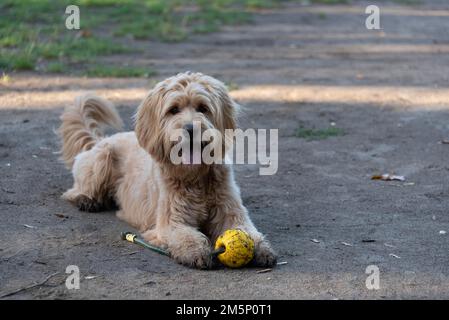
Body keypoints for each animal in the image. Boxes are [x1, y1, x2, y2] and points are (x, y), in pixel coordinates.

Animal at [58, 71, 276, 268]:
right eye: (173, 109)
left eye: (203, 108)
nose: (190, 129)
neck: (196, 178)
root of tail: (100, 141)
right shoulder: (171, 222)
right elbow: (186, 236)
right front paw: (196, 251)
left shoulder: (232, 213)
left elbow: (248, 231)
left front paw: (261, 248)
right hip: (102, 158)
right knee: (73, 191)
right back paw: (87, 200)